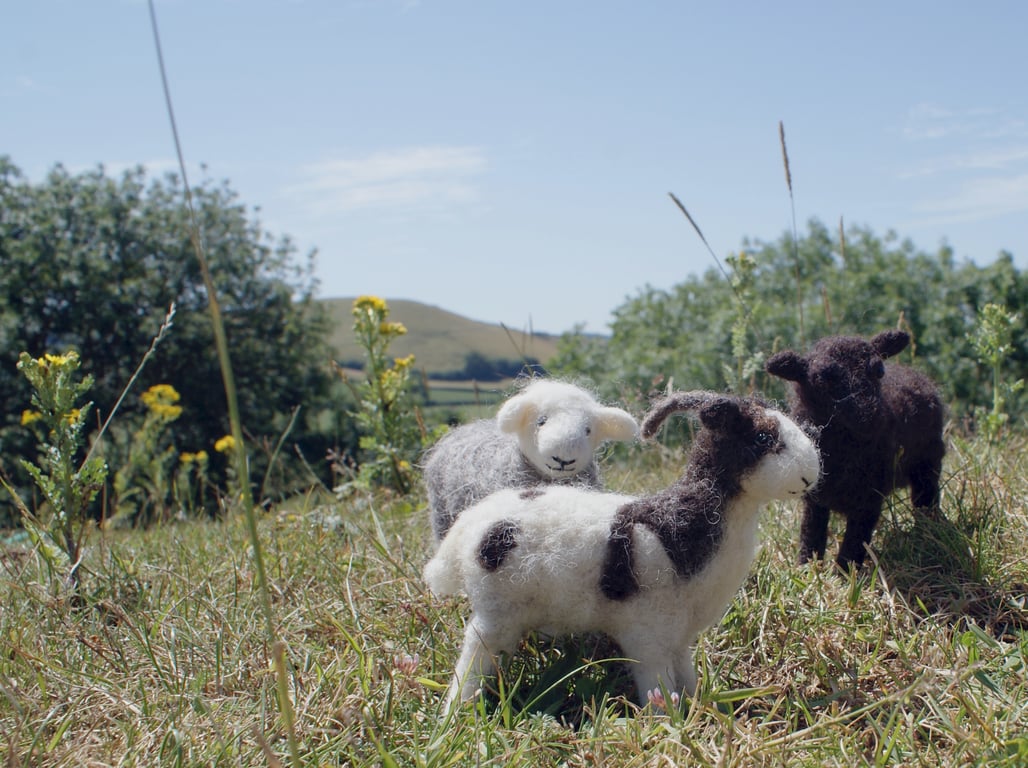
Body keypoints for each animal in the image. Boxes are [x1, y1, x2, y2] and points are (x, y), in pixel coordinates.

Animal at [765, 329, 946, 569]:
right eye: (822, 379)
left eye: (879, 370)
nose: (870, 416)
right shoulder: (815, 497)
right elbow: (811, 532)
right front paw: (806, 568)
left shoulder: (870, 496)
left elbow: (854, 541)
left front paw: (844, 573)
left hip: (928, 461)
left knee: (926, 497)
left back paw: (929, 532)